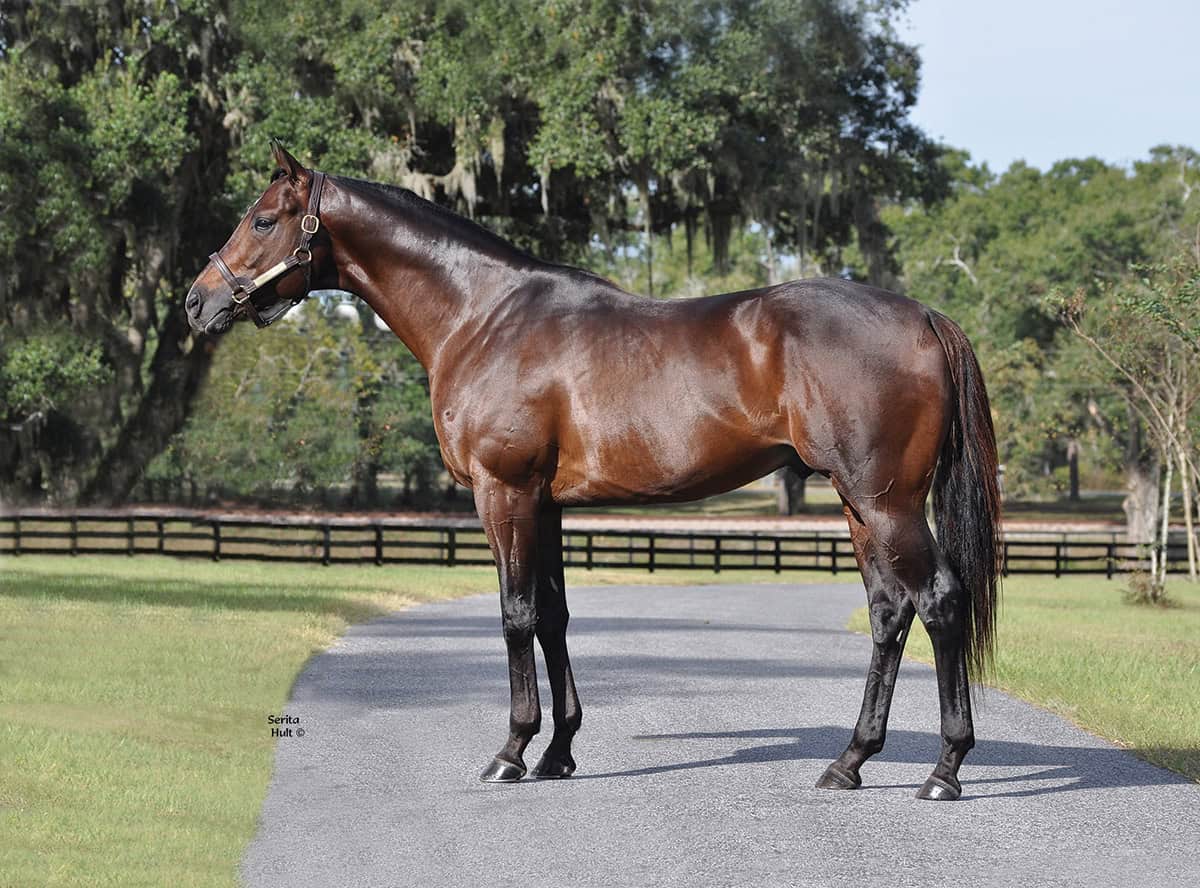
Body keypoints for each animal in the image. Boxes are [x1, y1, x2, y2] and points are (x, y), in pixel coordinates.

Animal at [186, 142, 1002, 801]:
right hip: (860, 506)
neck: (481, 317)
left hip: (886, 501)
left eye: (264, 221)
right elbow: (553, 616)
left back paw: (944, 771)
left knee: (939, 601)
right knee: (889, 611)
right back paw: (849, 762)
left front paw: (511, 754)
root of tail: (925, 316)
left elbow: (515, 615)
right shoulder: (544, 504)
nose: (197, 301)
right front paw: (558, 753)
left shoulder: (504, 493)